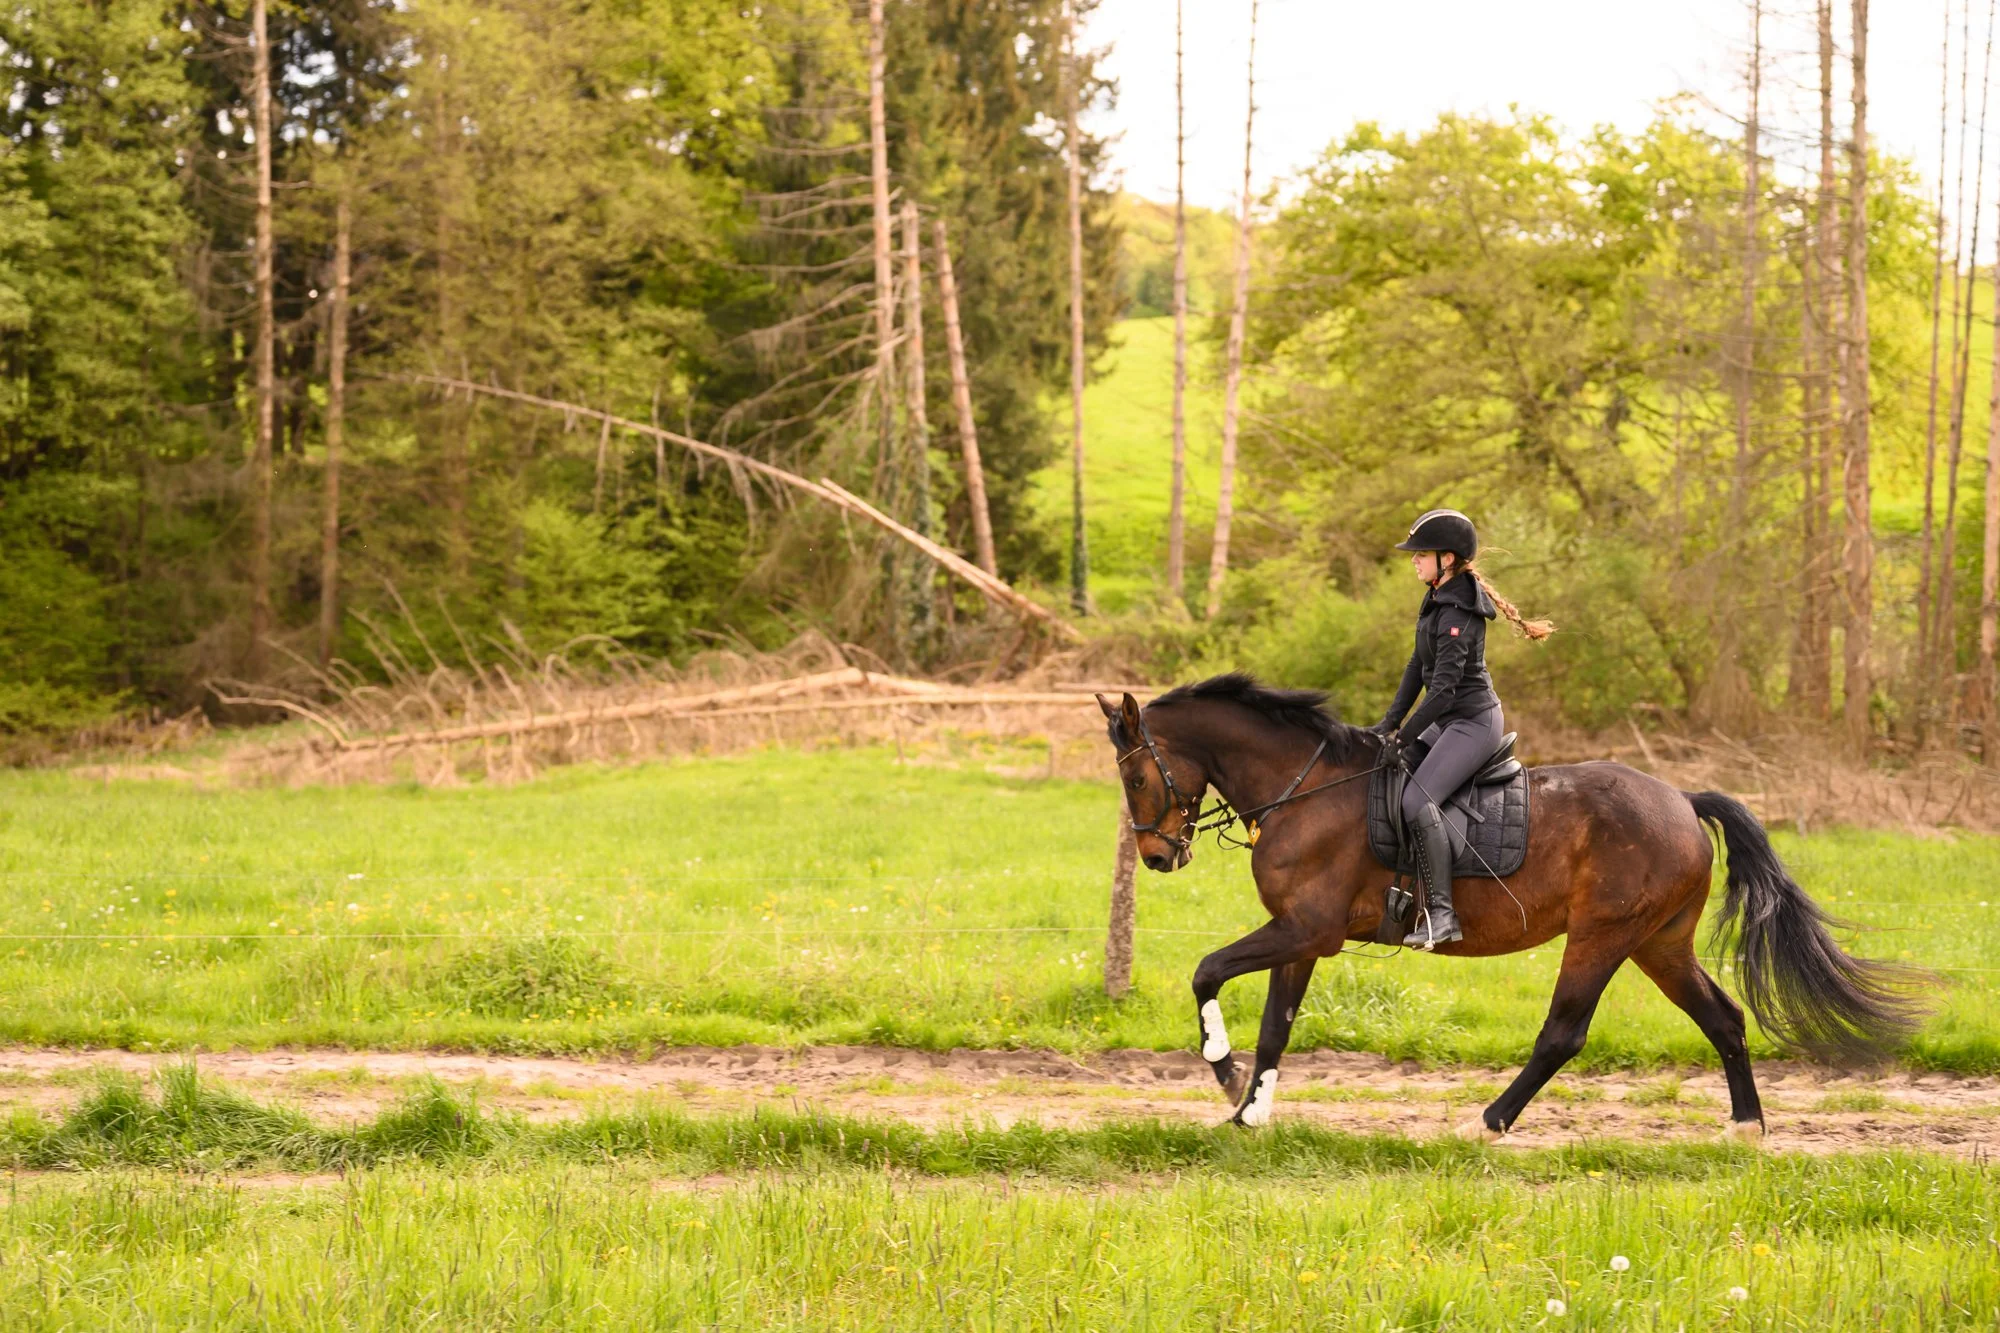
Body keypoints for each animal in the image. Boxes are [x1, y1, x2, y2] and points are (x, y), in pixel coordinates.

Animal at [1096, 674, 1924, 1140]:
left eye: (1135, 777)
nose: (1159, 856)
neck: (1305, 786)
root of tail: (1682, 800)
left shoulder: (1306, 929)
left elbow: (1207, 971)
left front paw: (1222, 1070)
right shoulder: (1300, 937)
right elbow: (1276, 1027)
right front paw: (1248, 1111)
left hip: (1602, 936)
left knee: (1562, 1033)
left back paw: (1489, 1121)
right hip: (1660, 943)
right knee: (1722, 1018)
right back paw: (1747, 1126)